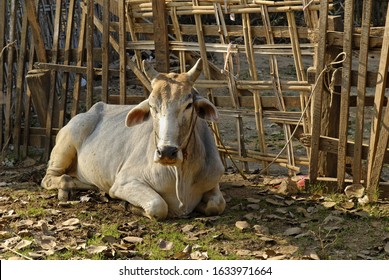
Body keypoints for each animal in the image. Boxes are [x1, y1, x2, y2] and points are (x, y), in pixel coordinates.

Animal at [41, 59, 224, 220]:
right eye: (151, 106)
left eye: (188, 104)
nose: (166, 152)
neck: (180, 173)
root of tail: (90, 110)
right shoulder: (124, 182)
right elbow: (158, 206)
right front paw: (128, 205)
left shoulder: (214, 182)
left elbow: (217, 204)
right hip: (66, 145)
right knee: (52, 178)